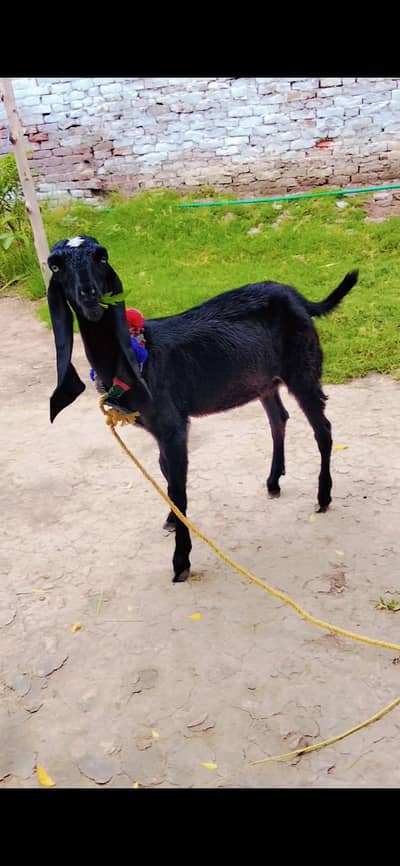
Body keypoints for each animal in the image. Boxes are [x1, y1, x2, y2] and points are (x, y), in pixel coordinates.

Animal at [47, 235, 358, 583]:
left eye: (102, 257)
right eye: (55, 265)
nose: (89, 294)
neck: (137, 358)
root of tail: (299, 298)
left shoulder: (172, 424)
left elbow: (178, 488)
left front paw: (181, 562)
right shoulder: (158, 426)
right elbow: (166, 475)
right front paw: (172, 520)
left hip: (303, 366)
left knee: (323, 428)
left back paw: (323, 497)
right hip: (263, 379)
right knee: (279, 418)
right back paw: (274, 481)